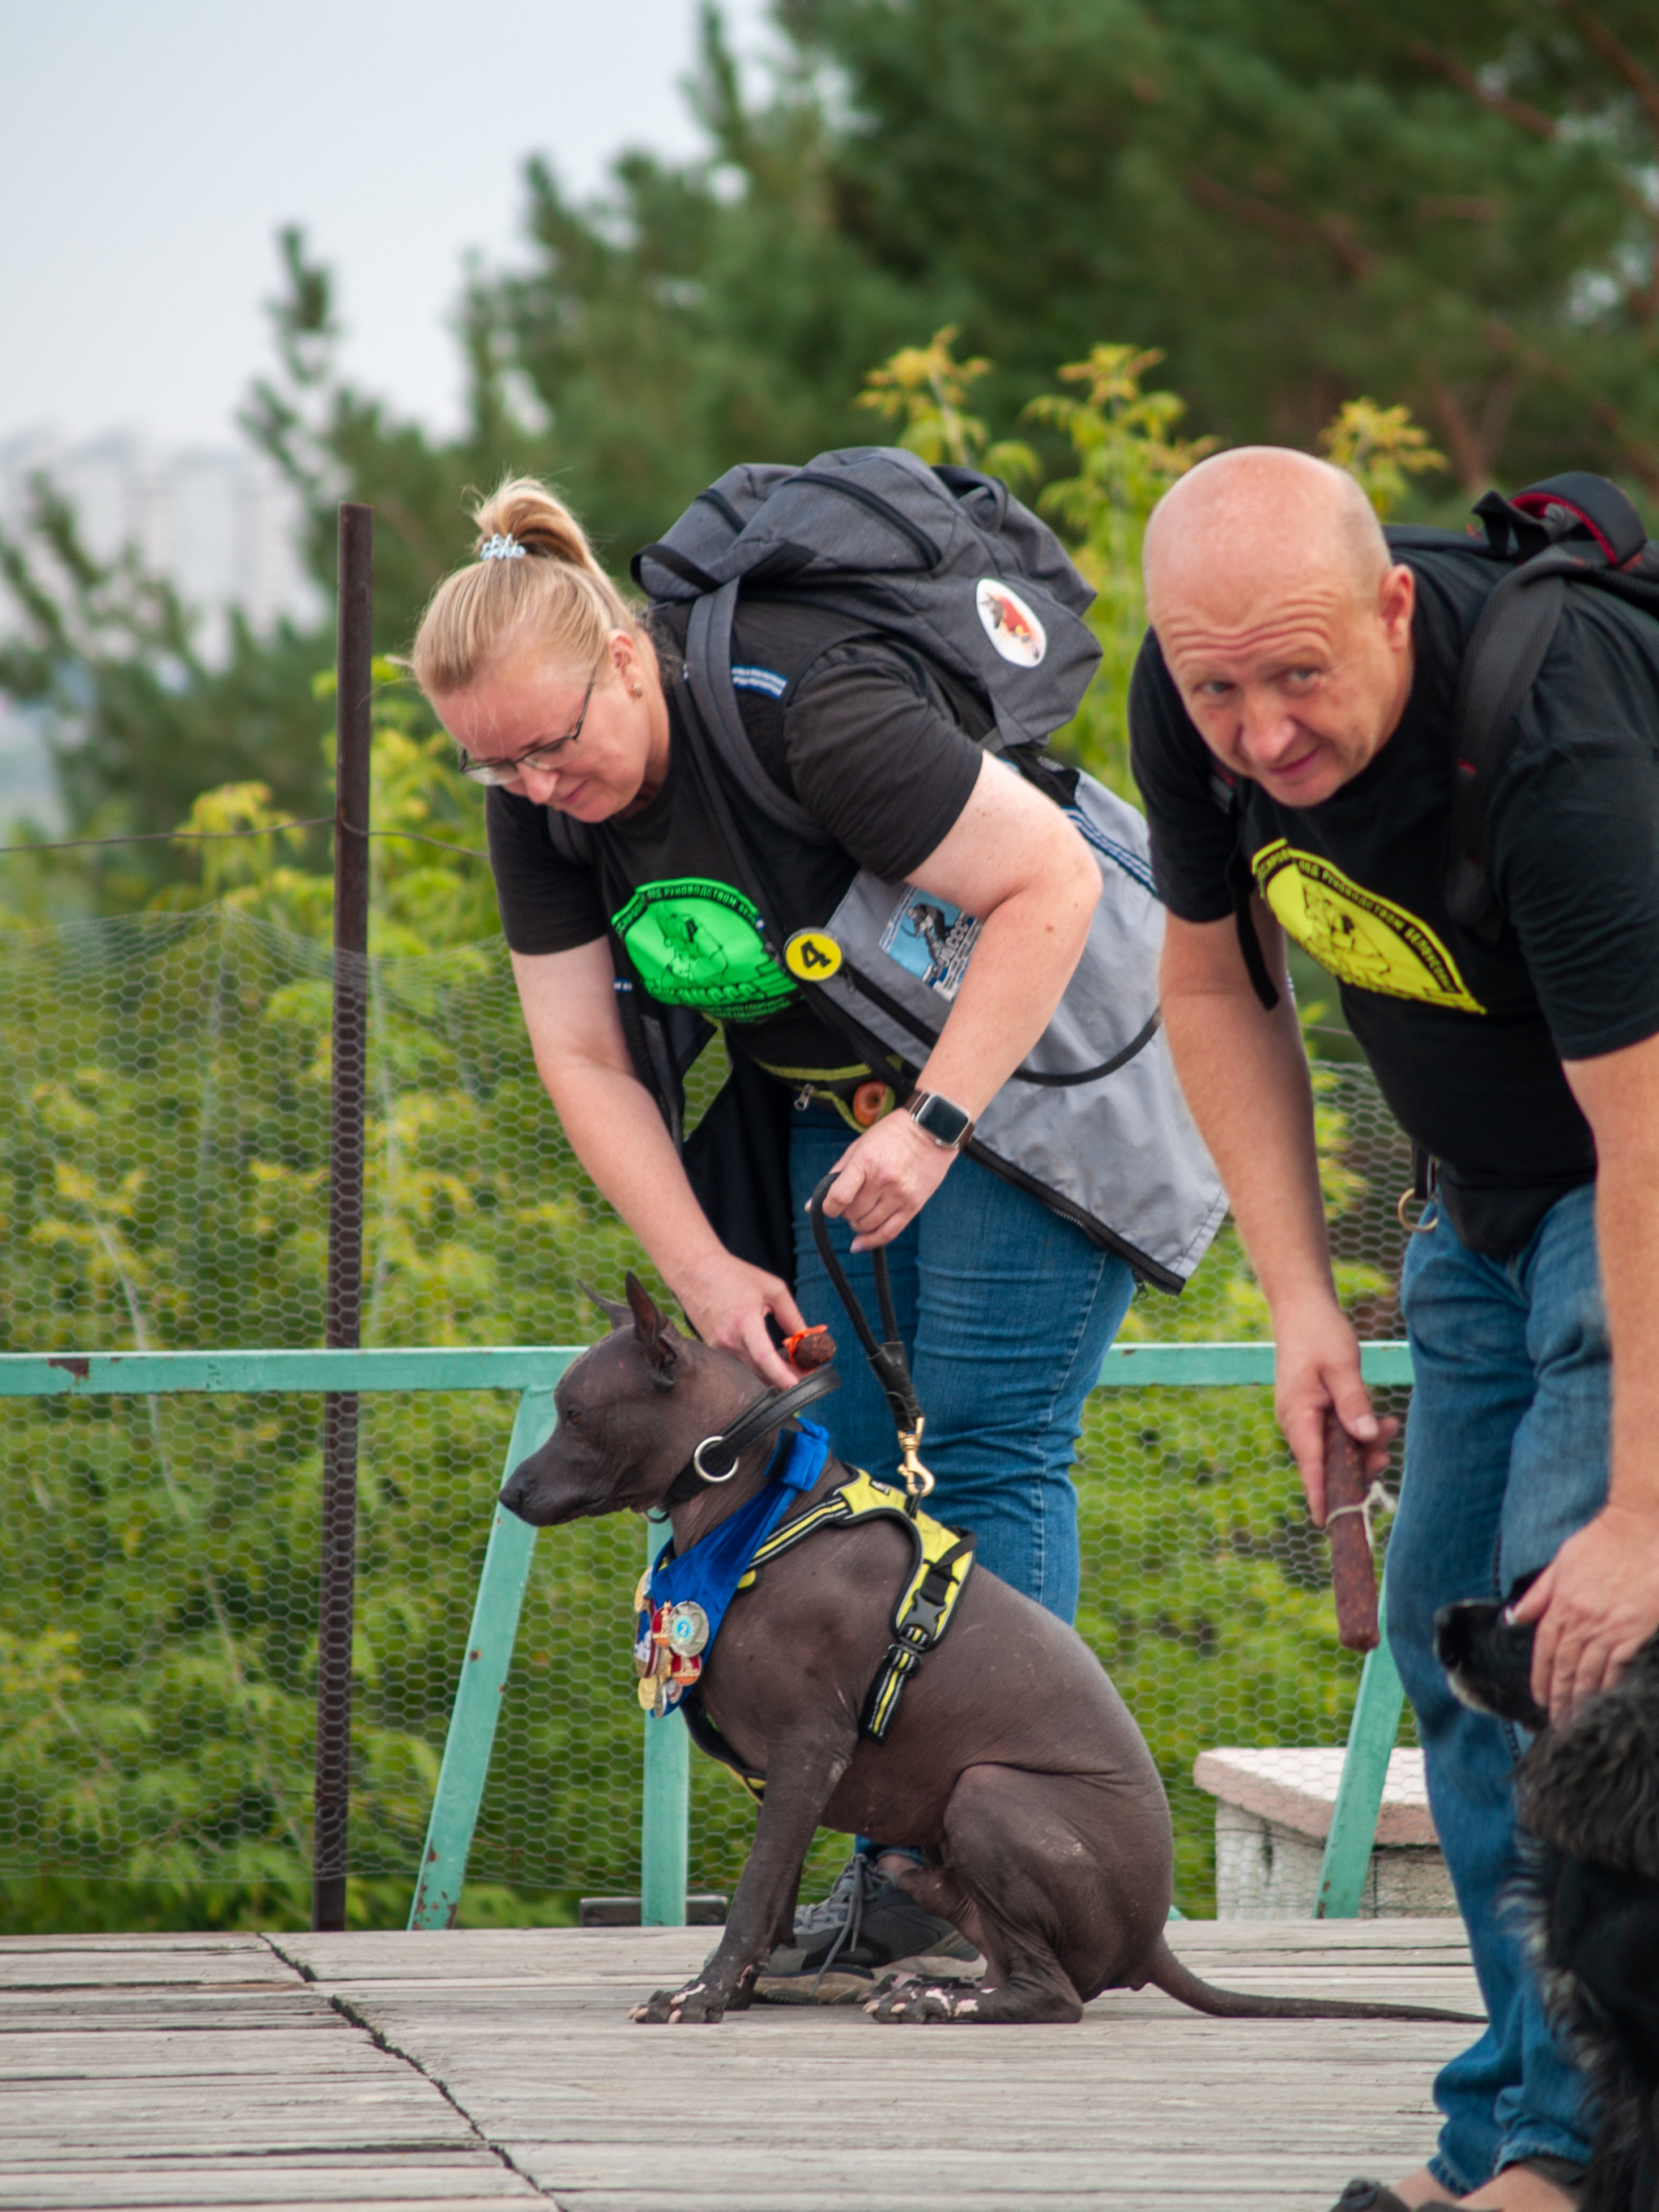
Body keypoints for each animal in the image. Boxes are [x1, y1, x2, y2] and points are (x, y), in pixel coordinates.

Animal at [500, 1291, 1478, 2026]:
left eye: (576, 1412)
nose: (510, 1492)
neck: (761, 1516)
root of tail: (1151, 1937)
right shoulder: (793, 1779)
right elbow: (771, 1896)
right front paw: (737, 1991)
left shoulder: (808, 1753)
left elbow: (750, 1895)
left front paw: (702, 1994)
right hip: (934, 1859)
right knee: (1020, 1960)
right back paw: (940, 1986)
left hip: (988, 1793)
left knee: (1055, 1993)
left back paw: (943, 2001)